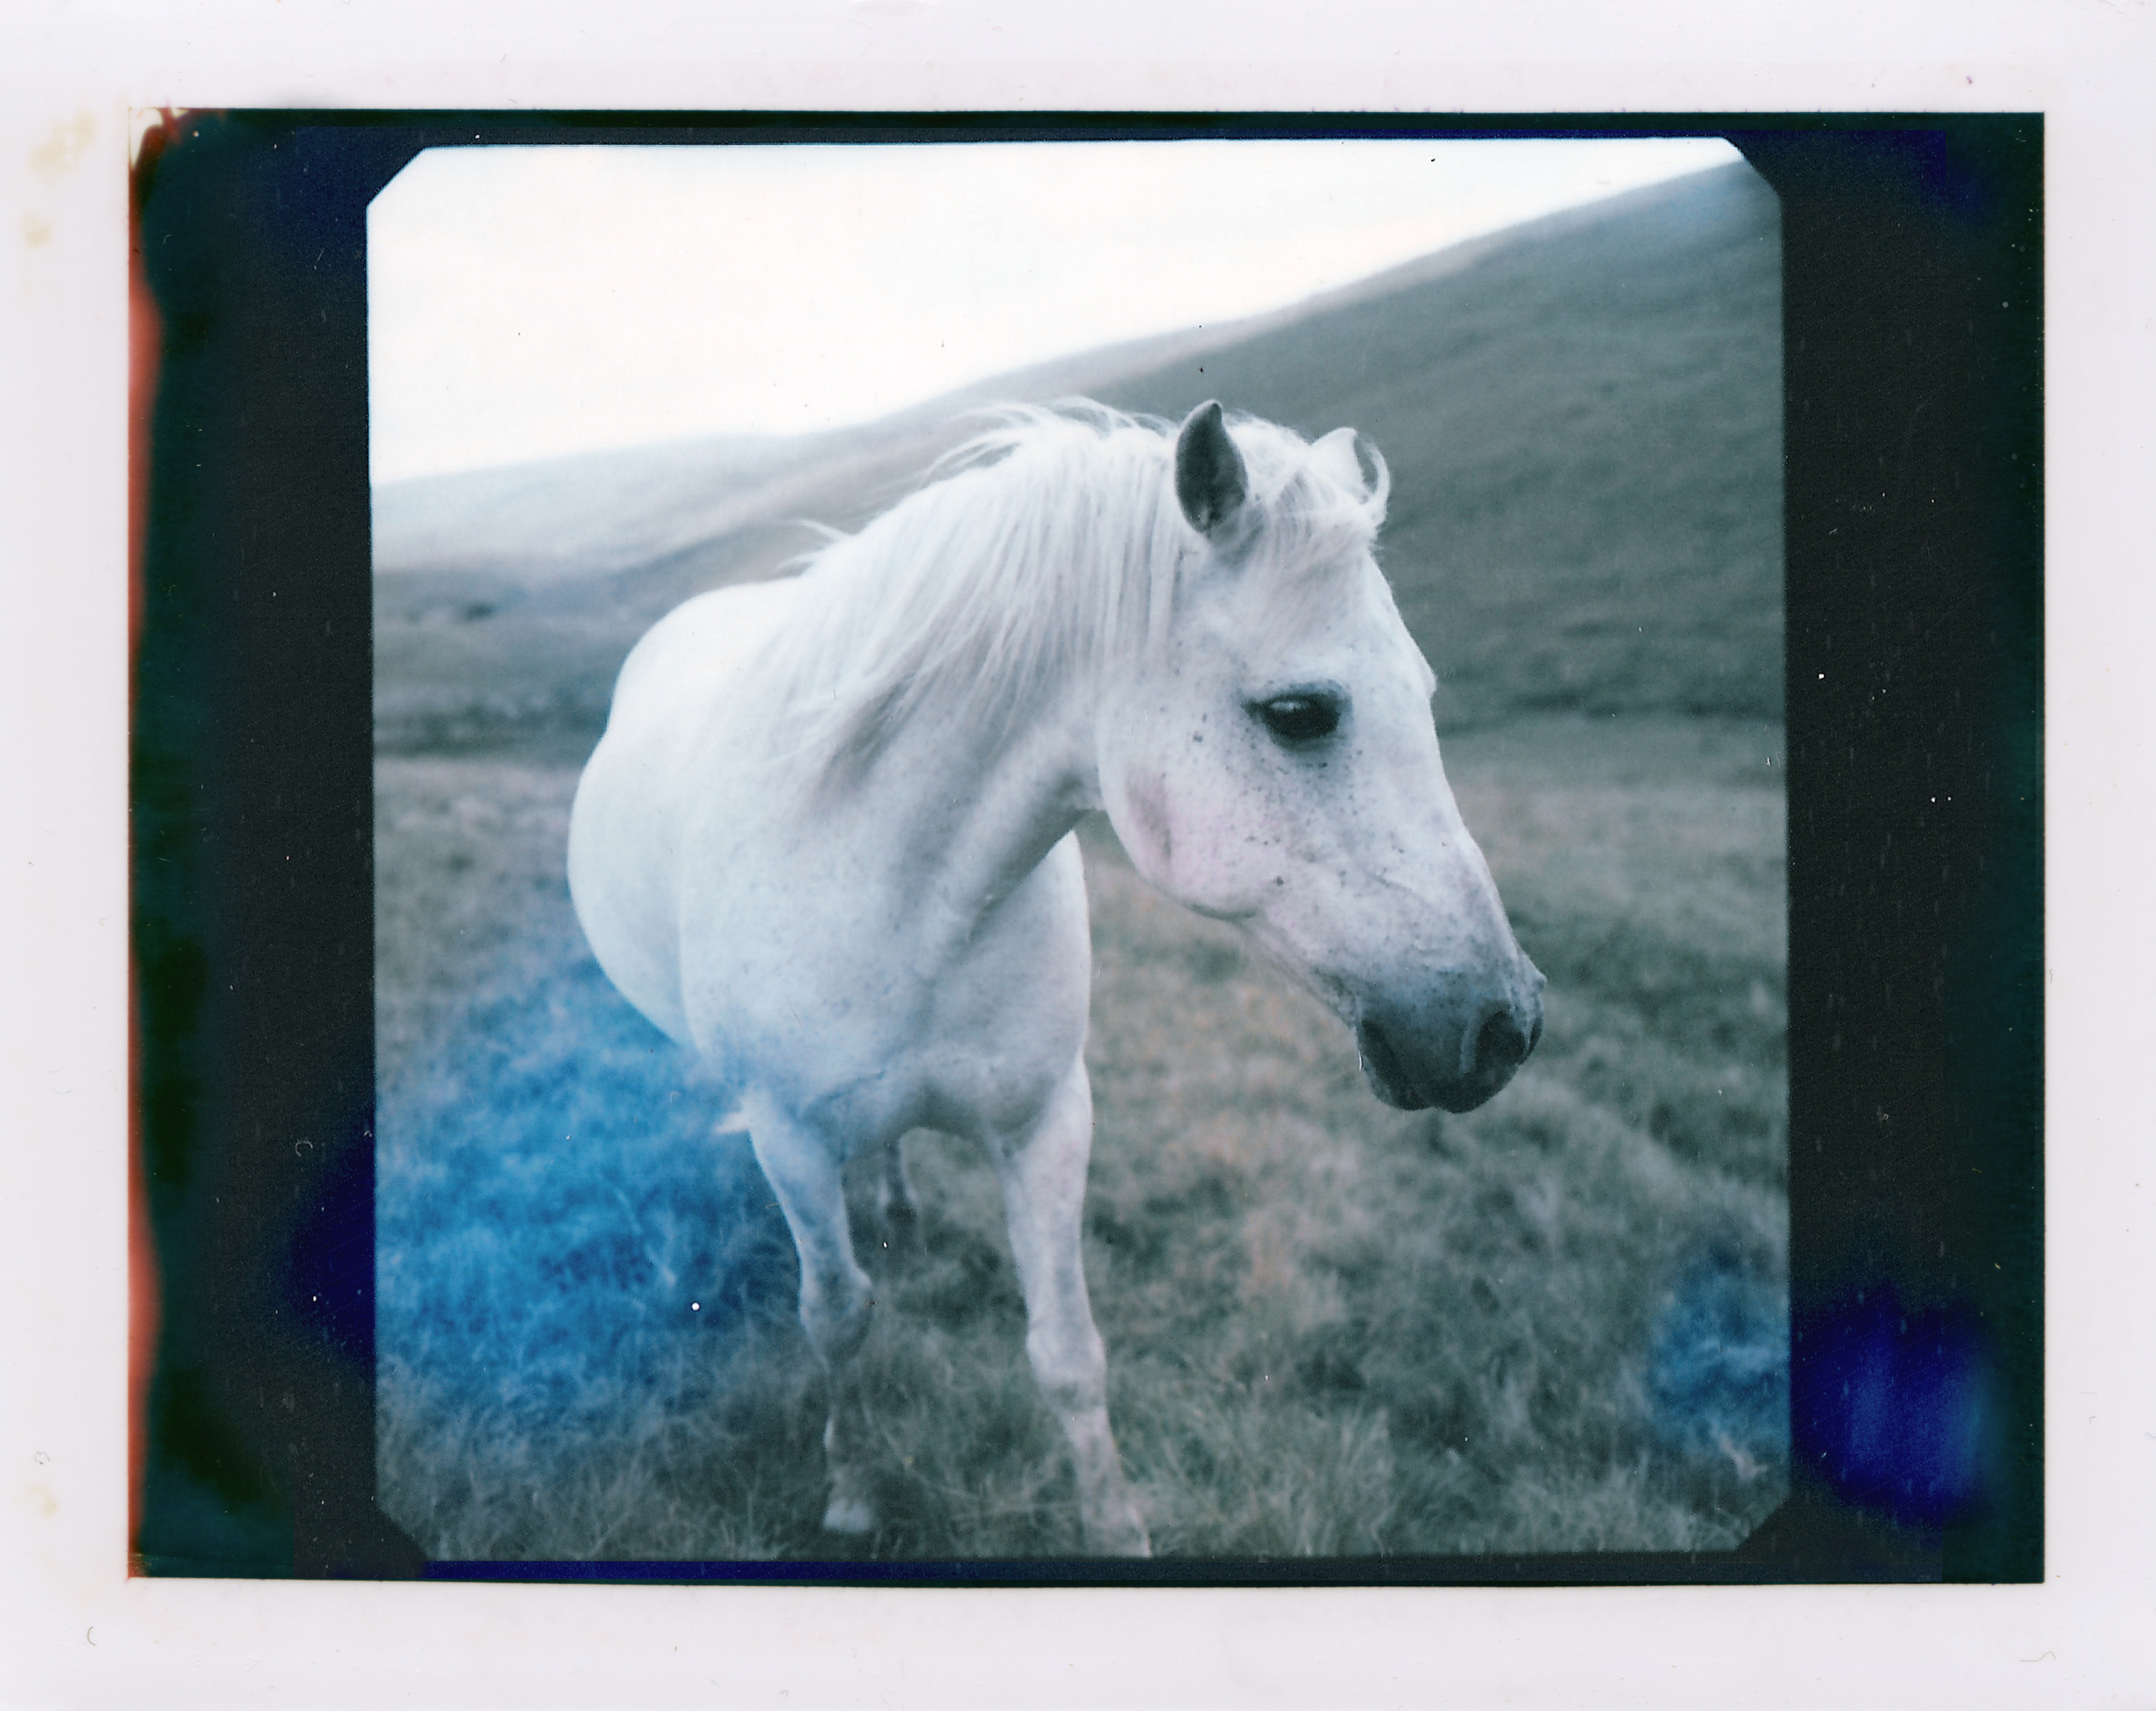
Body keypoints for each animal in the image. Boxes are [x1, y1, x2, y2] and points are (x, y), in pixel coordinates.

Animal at [567, 400, 1544, 1556]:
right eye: (1302, 712)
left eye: (1426, 695)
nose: (1504, 1028)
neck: (905, 889)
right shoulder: (791, 1138)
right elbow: (837, 1316)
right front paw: (852, 1494)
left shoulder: (1045, 1122)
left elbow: (1068, 1353)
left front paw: (1115, 1530)